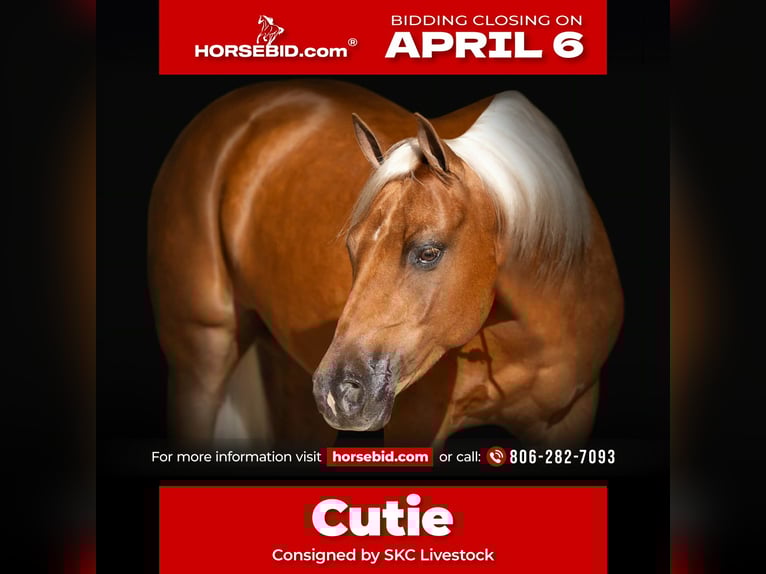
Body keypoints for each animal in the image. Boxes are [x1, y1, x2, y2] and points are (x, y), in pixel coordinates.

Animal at [147, 79, 624, 448]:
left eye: (428, 252)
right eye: (352, 248)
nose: (340, 391)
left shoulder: (569, 421)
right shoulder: (414, 426)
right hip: (201, 359)